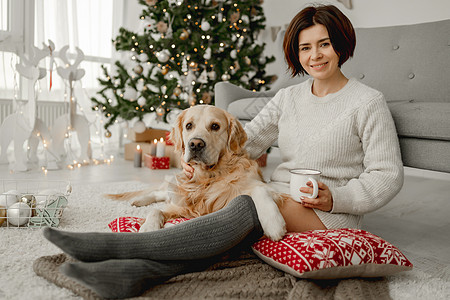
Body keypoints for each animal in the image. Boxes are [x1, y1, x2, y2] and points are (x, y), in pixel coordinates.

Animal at [107, 105, 286, 241]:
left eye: (215, 126)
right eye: (189, 126)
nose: (195, 144)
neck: (208, 177)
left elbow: (259, 189)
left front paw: (274, 224)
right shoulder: (180, 206)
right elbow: (155, 210)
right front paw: (147, 227)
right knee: (160, 193)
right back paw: (138, 200)